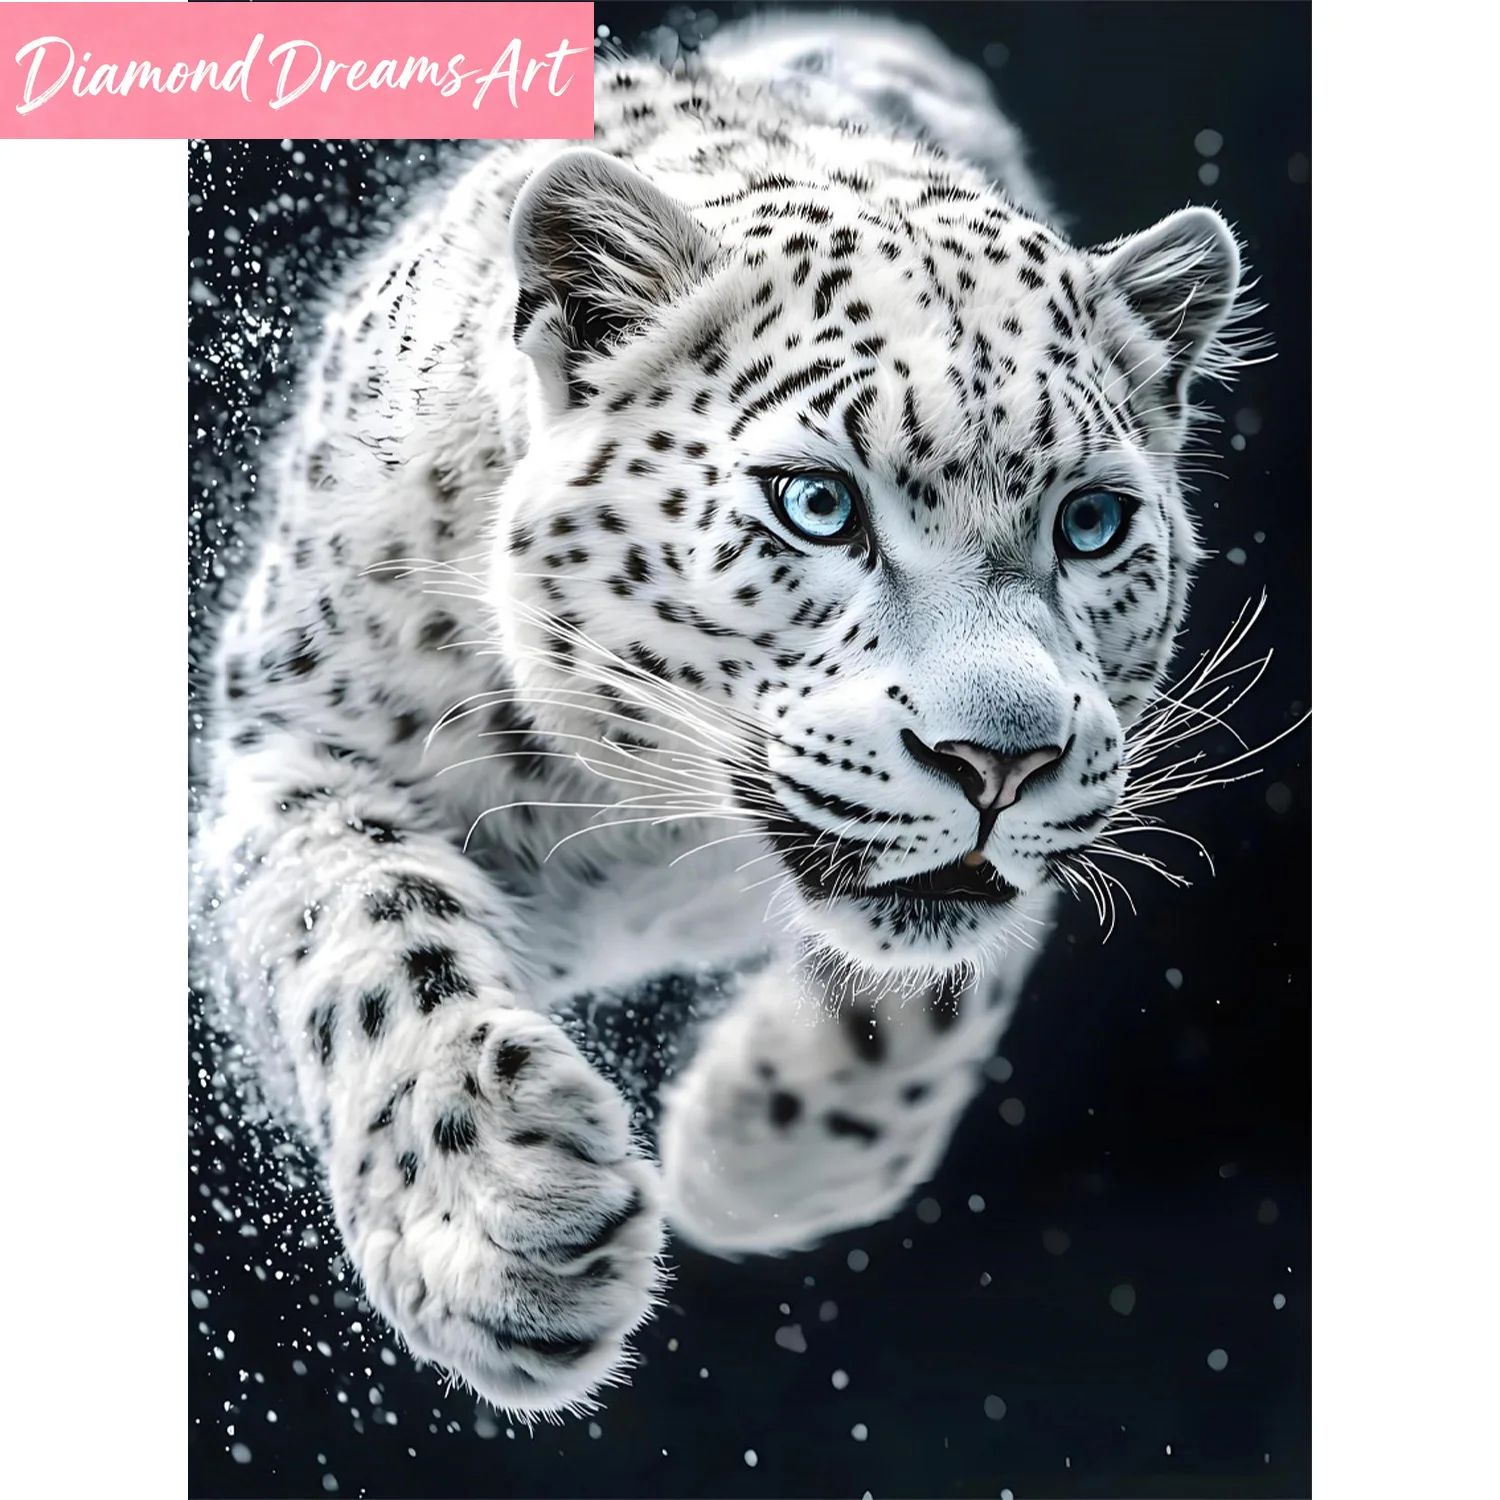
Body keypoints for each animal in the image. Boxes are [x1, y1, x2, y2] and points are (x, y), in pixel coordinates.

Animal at [192, 11, 1258, 1419]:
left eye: (1092, 521)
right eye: (818, 503)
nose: (1001, 762)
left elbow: (925, 992)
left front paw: (751, 1164)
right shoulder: (295, 748)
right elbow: (369, 934)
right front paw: (509, 1217)